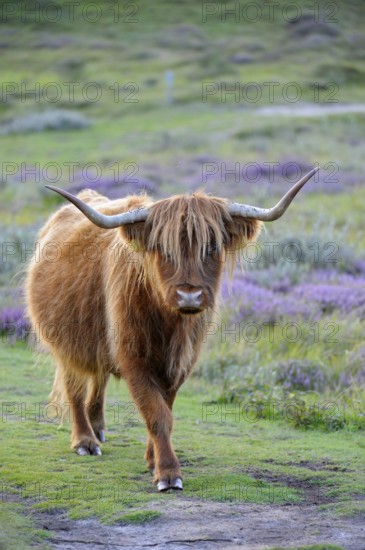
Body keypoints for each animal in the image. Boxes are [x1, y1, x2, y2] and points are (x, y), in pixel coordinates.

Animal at [25, 168, 316, 492]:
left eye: (211, 247)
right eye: (164, 249)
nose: (189, 296)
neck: (171, 325)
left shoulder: (181, 363)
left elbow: (166, 408)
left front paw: (152, 460)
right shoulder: (134, 359)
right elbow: (156, 414)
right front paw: (167, 473)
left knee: (98, 378)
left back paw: (98, 428)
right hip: (65, 343)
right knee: (74, 386)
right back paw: (85, 441)